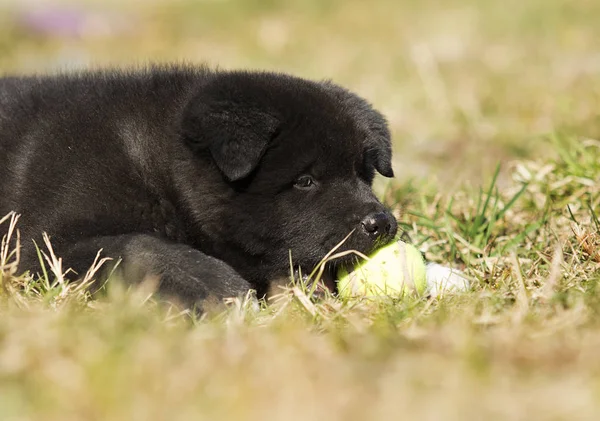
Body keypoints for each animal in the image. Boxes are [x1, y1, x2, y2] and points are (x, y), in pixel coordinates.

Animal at [1, 65, 398, 308]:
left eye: (364, 175)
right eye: (305, 181)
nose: (382, 224)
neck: (157, 165)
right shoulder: (42, 246)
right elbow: (136, 245)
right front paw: (211, 284)